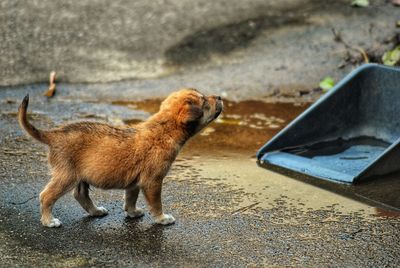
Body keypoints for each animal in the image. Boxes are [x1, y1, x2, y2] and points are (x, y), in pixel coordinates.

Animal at [18, 89, 222, 227]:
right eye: (205, 102)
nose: (220, 97)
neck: (165, 129)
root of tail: (54, 134)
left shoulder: (134, 183)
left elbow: (130, 199)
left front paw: (132, 213)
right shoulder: (153, 181)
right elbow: (156, 203)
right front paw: (162, 218)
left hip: (80, 176)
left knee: (80, 194)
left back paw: (95, 211)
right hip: (66, 176)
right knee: (46, 196)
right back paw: (48, 220)